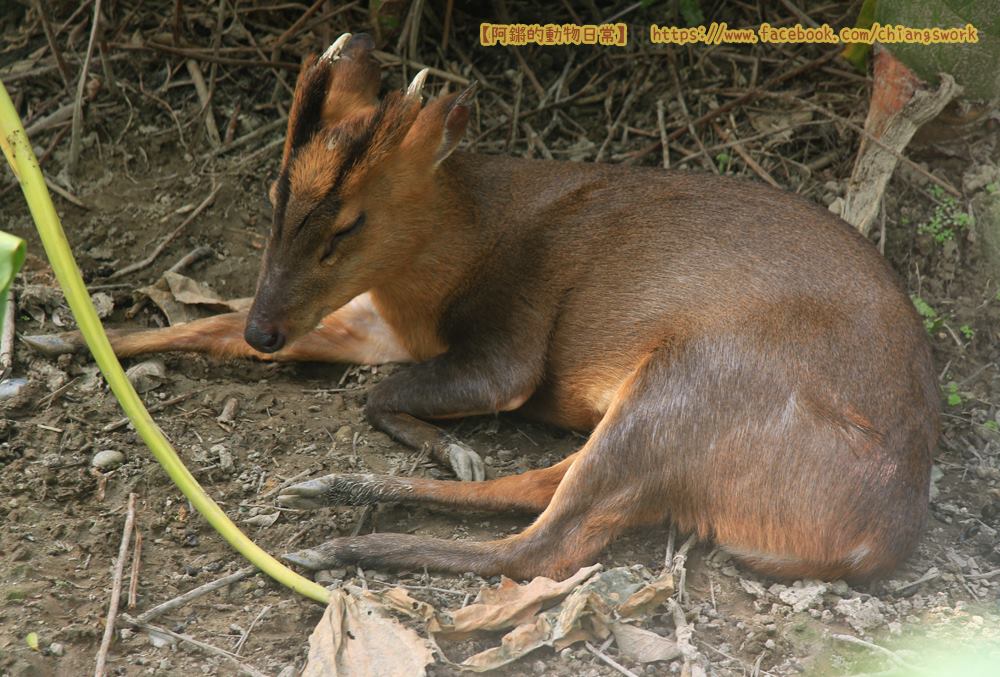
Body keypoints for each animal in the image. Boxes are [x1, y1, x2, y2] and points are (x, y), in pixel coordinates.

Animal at [27, 33, 939, 582]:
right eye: (274, 194)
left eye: (349, 222)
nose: (268, 321)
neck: (453, 254)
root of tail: (874, 532)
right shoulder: (374, 321)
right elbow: (221, 327)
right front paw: (61, 338)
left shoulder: (509, 349)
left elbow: (380, 390)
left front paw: (436, 441)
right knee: (546, 487)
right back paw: (336, 490)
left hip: (696, 375)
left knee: (548, 544)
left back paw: (340, 537)